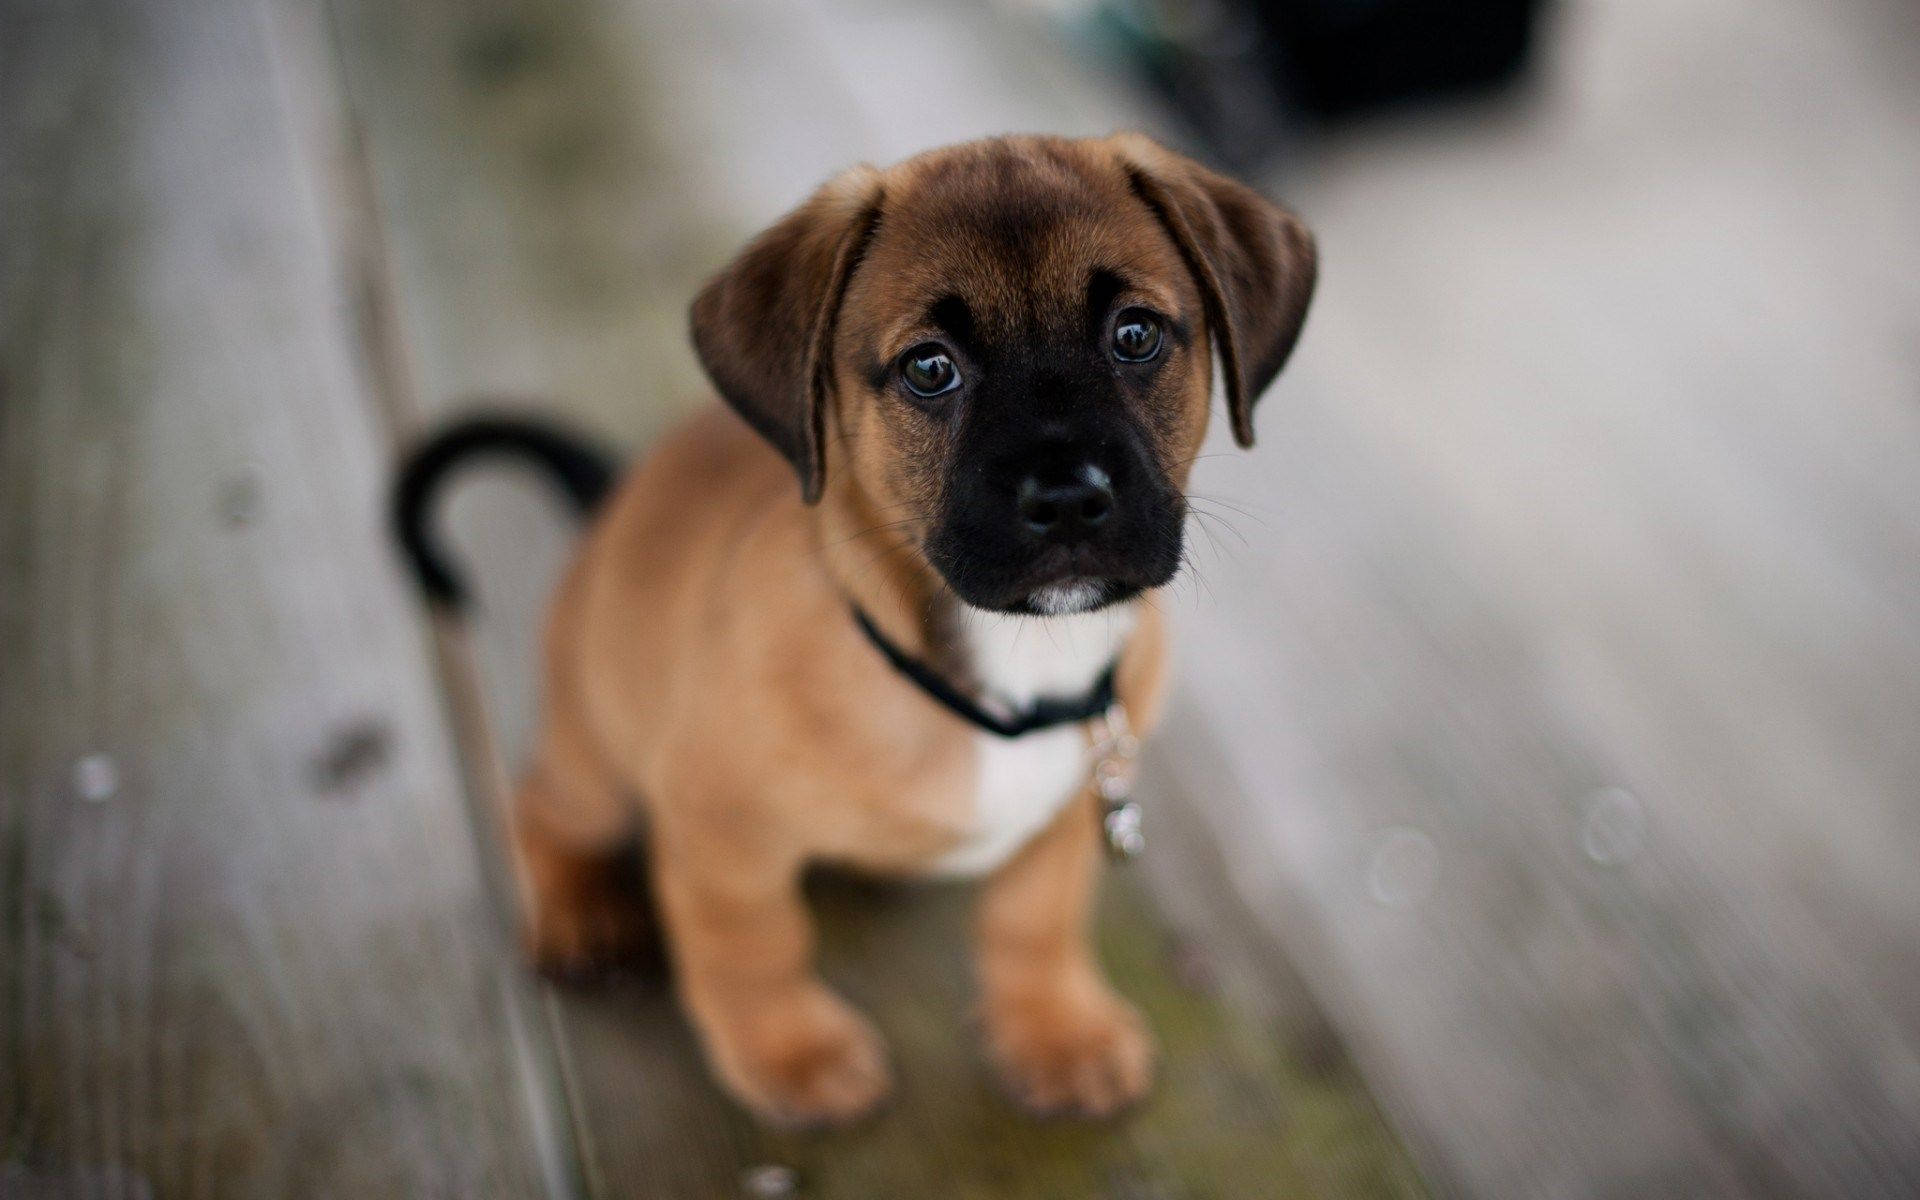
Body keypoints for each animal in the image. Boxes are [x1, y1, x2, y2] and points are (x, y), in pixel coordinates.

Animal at [395, 133, 1313, 1121]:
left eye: (1135, 334)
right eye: (929, 367)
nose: (1069, 498)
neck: (1006, 672)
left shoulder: (1064, 821)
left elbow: (1035, 922)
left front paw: (1055, 1028)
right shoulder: (717, 829)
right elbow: (752, 946)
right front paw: (791, 1051)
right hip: (599, 757)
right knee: (538, 805)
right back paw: (579, 911)